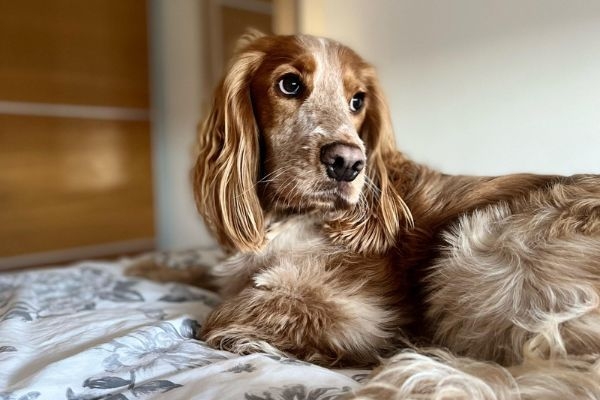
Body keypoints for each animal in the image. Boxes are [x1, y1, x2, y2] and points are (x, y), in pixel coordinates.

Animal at [190, 32, 596, 398]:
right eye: (289, 84)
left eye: (357, 101)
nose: (347, 163)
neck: (287, 214)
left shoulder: (360, 314)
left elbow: (219, 315)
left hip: (480, 243)